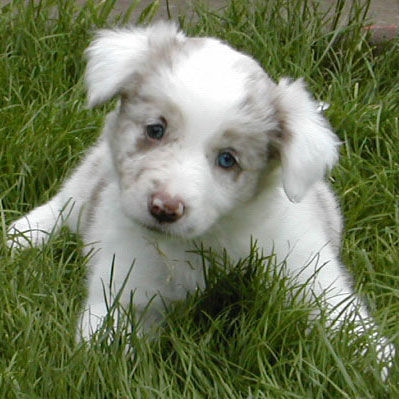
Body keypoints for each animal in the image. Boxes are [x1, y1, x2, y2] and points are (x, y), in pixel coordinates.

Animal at [7, 21, 396, 378]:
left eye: (227, 159)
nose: (164, 208)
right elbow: (107, 345)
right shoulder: (125, 285)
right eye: (155, 130)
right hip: (94, 170)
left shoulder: (306, 269)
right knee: (66, 202)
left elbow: (344, 319)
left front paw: (381, 361)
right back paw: (23, 235)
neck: (206, 240)